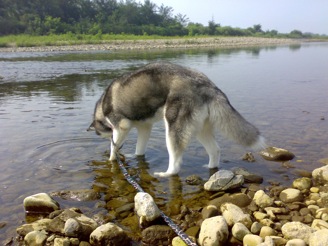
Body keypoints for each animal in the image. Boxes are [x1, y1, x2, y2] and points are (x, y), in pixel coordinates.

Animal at [88, 62, 266, 177]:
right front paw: (133, 156)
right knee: (215, 150)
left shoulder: (121, 126)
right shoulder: (145, 128)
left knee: (176, 162)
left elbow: (114, 147)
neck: (102, 106)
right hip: (200, 129)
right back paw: (210, 166)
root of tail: (207, 85)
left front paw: (112, 159)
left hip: (173, 128)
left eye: (101, 134)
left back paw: (166, 173)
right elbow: (140, 149)